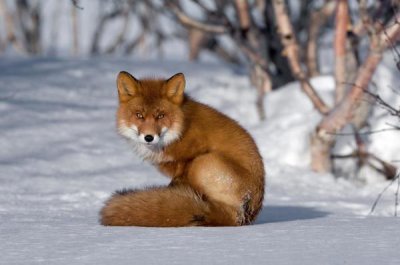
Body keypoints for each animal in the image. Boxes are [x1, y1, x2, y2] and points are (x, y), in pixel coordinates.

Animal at [99, 71, 266, 226]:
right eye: (139, 115)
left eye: (160, 116)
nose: (149, 137)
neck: (180, 130)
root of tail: (242, 217)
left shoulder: (187, 163)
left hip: (202, 163)